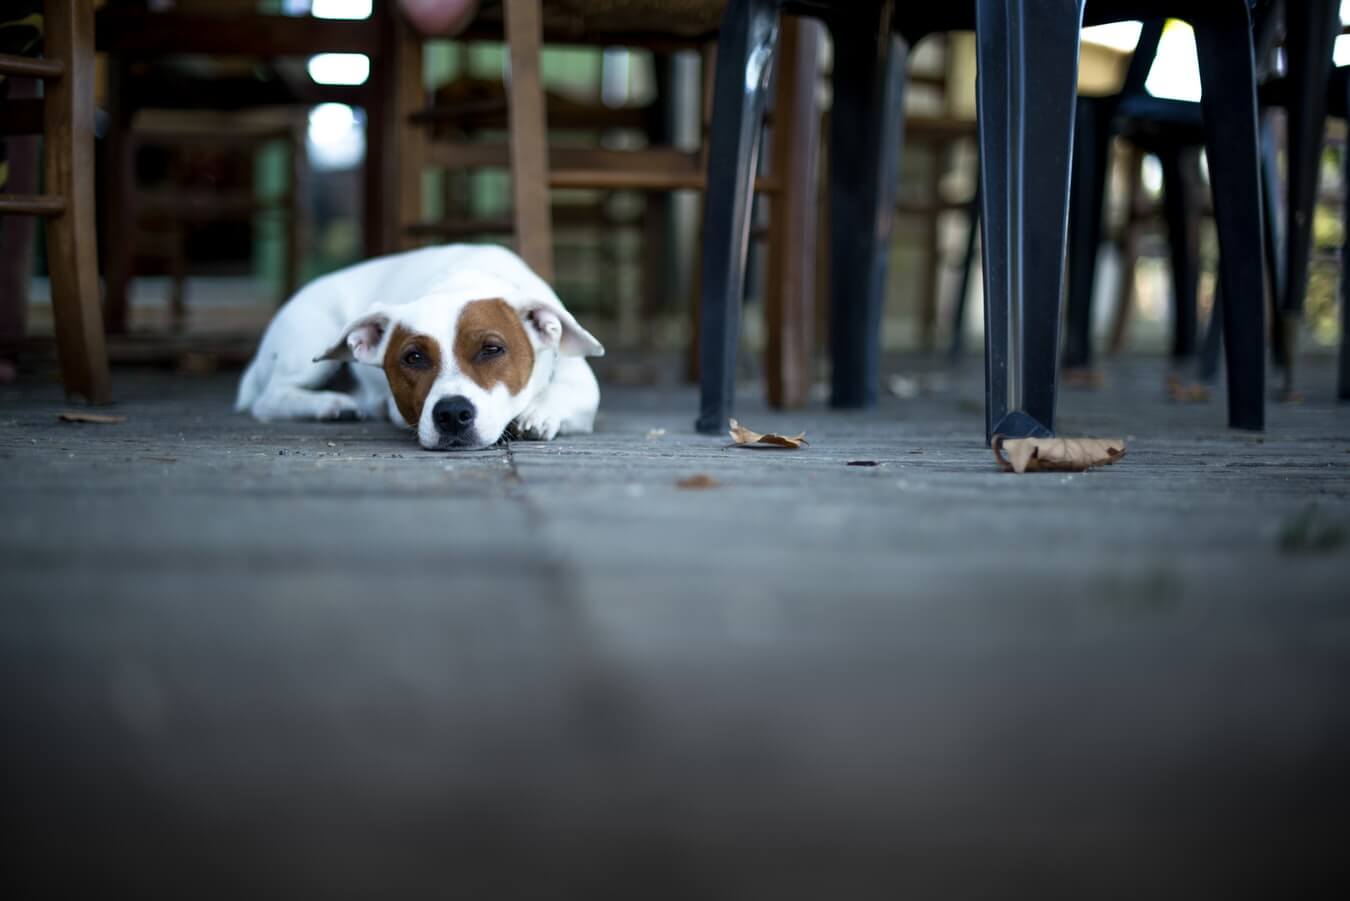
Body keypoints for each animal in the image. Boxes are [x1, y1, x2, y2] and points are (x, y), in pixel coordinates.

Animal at [234, 243, 604, 451]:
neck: (467, 277)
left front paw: (538, 413)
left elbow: (565, 394)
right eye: (413, 357)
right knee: (270, 399)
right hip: (310, 347)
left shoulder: (581, 382)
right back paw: (330, 404)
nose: (452, 413)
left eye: (492, 349)